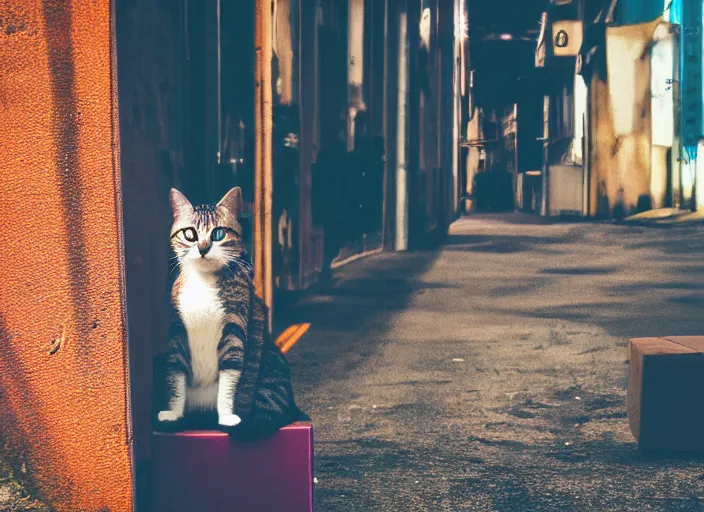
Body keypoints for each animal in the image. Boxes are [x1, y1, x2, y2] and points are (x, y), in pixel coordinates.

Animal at [157, 188, 308, 440]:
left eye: (218, 233)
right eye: (190, 234)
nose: (203, 248)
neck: (203, 283)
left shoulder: (234, 327)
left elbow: (230, 377)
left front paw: (227, 417)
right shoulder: (177, 332)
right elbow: (174, 375)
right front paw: (173, 414)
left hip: (271, 368)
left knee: (268, 409)